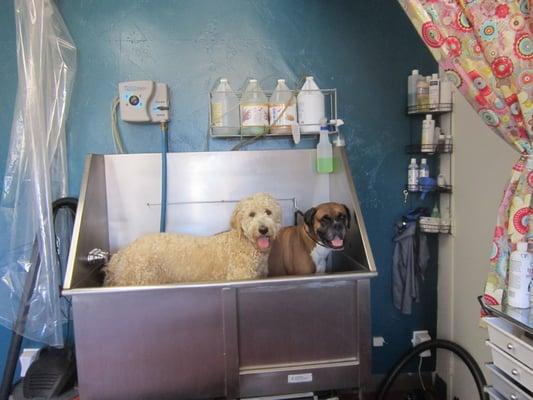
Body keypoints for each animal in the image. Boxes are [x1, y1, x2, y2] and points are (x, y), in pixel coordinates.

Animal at [103, 193, 282, 284]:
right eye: (251, 214)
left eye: (268, 212)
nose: (263, 229)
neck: (244, 244)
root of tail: (124, 252)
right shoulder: (238, 276)